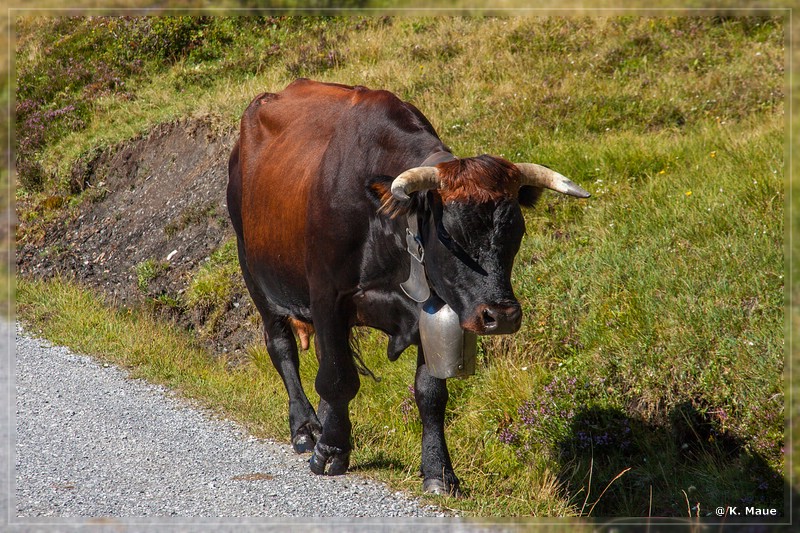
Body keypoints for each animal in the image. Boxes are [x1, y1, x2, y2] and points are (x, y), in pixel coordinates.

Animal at [225, 79, 588, 494]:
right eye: (451, 234)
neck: (387, 228)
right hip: (253, 271)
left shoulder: (432, 310)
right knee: (282, 347)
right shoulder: (327, 296)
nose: (502, 315)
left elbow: (430, 394)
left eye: (516, 231)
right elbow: (338, 378)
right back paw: (305, 428)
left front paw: (439, 471)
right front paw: (331, 450)